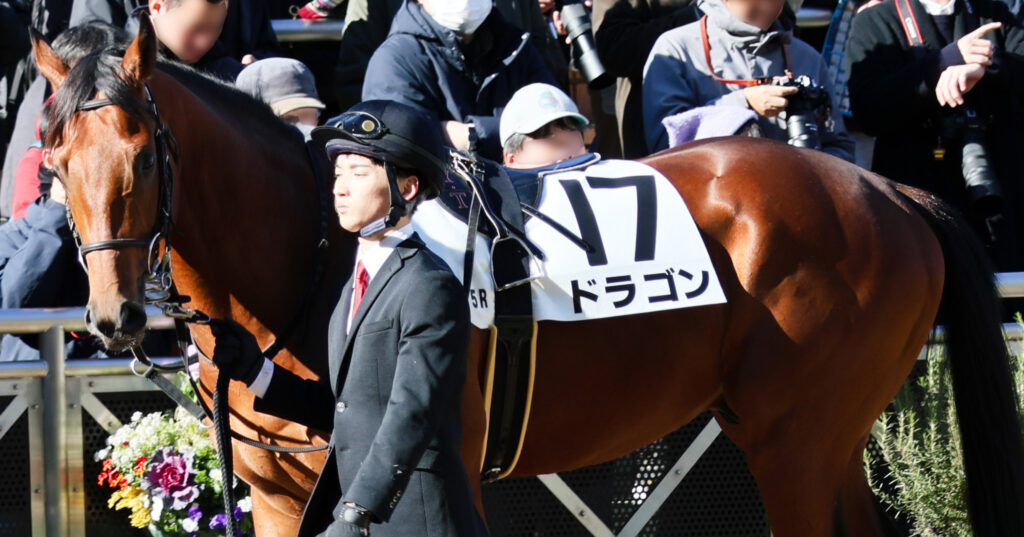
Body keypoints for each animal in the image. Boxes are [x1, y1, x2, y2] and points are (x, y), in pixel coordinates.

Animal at [31, 17, 1024, 537]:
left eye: (142, 154)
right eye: (54, 157)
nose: (115, 317)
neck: (320, 256)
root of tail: (888, 193)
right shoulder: (280, 495)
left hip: (796, 439)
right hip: (809, 433)